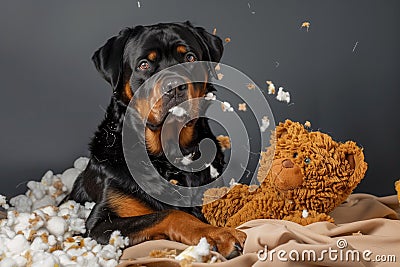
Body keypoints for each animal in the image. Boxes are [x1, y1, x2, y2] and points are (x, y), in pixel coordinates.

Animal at [65, 22, 247, 258]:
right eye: (144, 65)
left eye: (189, 57)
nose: (175, 86)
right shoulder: (100, 224)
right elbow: (169, 214)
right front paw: (219, 235)